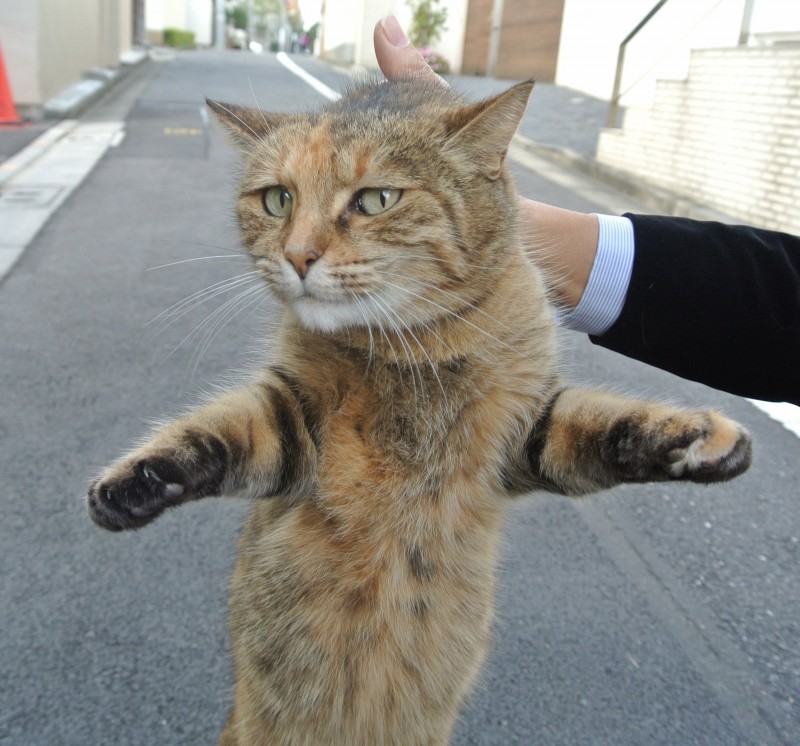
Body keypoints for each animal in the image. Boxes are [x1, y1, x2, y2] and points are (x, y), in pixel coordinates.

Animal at [87, 78, 752, 740]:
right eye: (278, 200)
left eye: (375, 199)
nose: (297, 257)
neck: (415, 350)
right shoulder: (292, 419)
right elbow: (215, 430)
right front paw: (135, 482)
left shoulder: (527, 430)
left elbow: (604, 425)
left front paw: (696, 439)